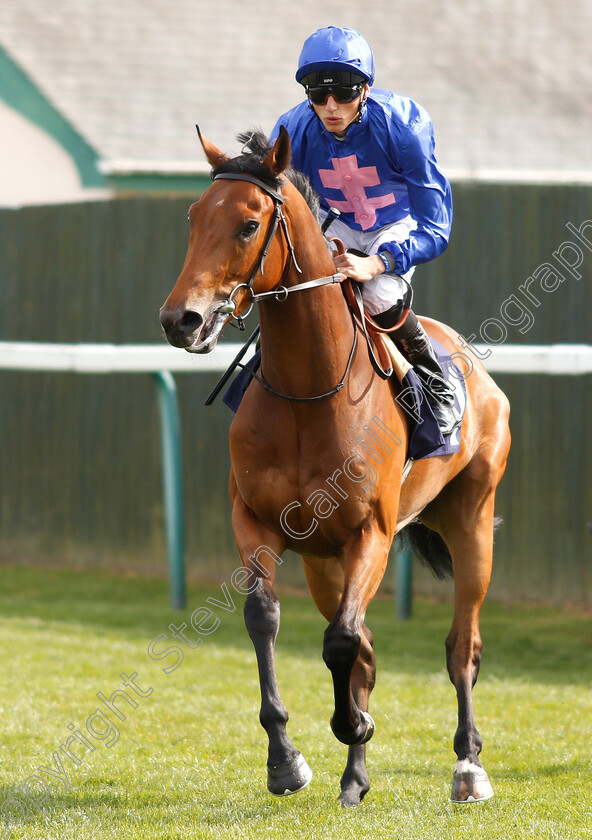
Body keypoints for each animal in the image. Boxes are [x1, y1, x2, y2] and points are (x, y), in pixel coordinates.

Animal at [160, 126, 512, 808]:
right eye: (192, 217)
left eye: (248, 224)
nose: (180, 319)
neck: (309, 392)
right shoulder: (258, 522)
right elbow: (269, 620)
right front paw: (286, 759)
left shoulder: (369, 532)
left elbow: (343, 641)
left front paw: (350, 726)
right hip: (324, 564)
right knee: (367, 654)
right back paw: (355, 779)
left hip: (472, 524)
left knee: (462, 647)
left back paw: (467, 764)